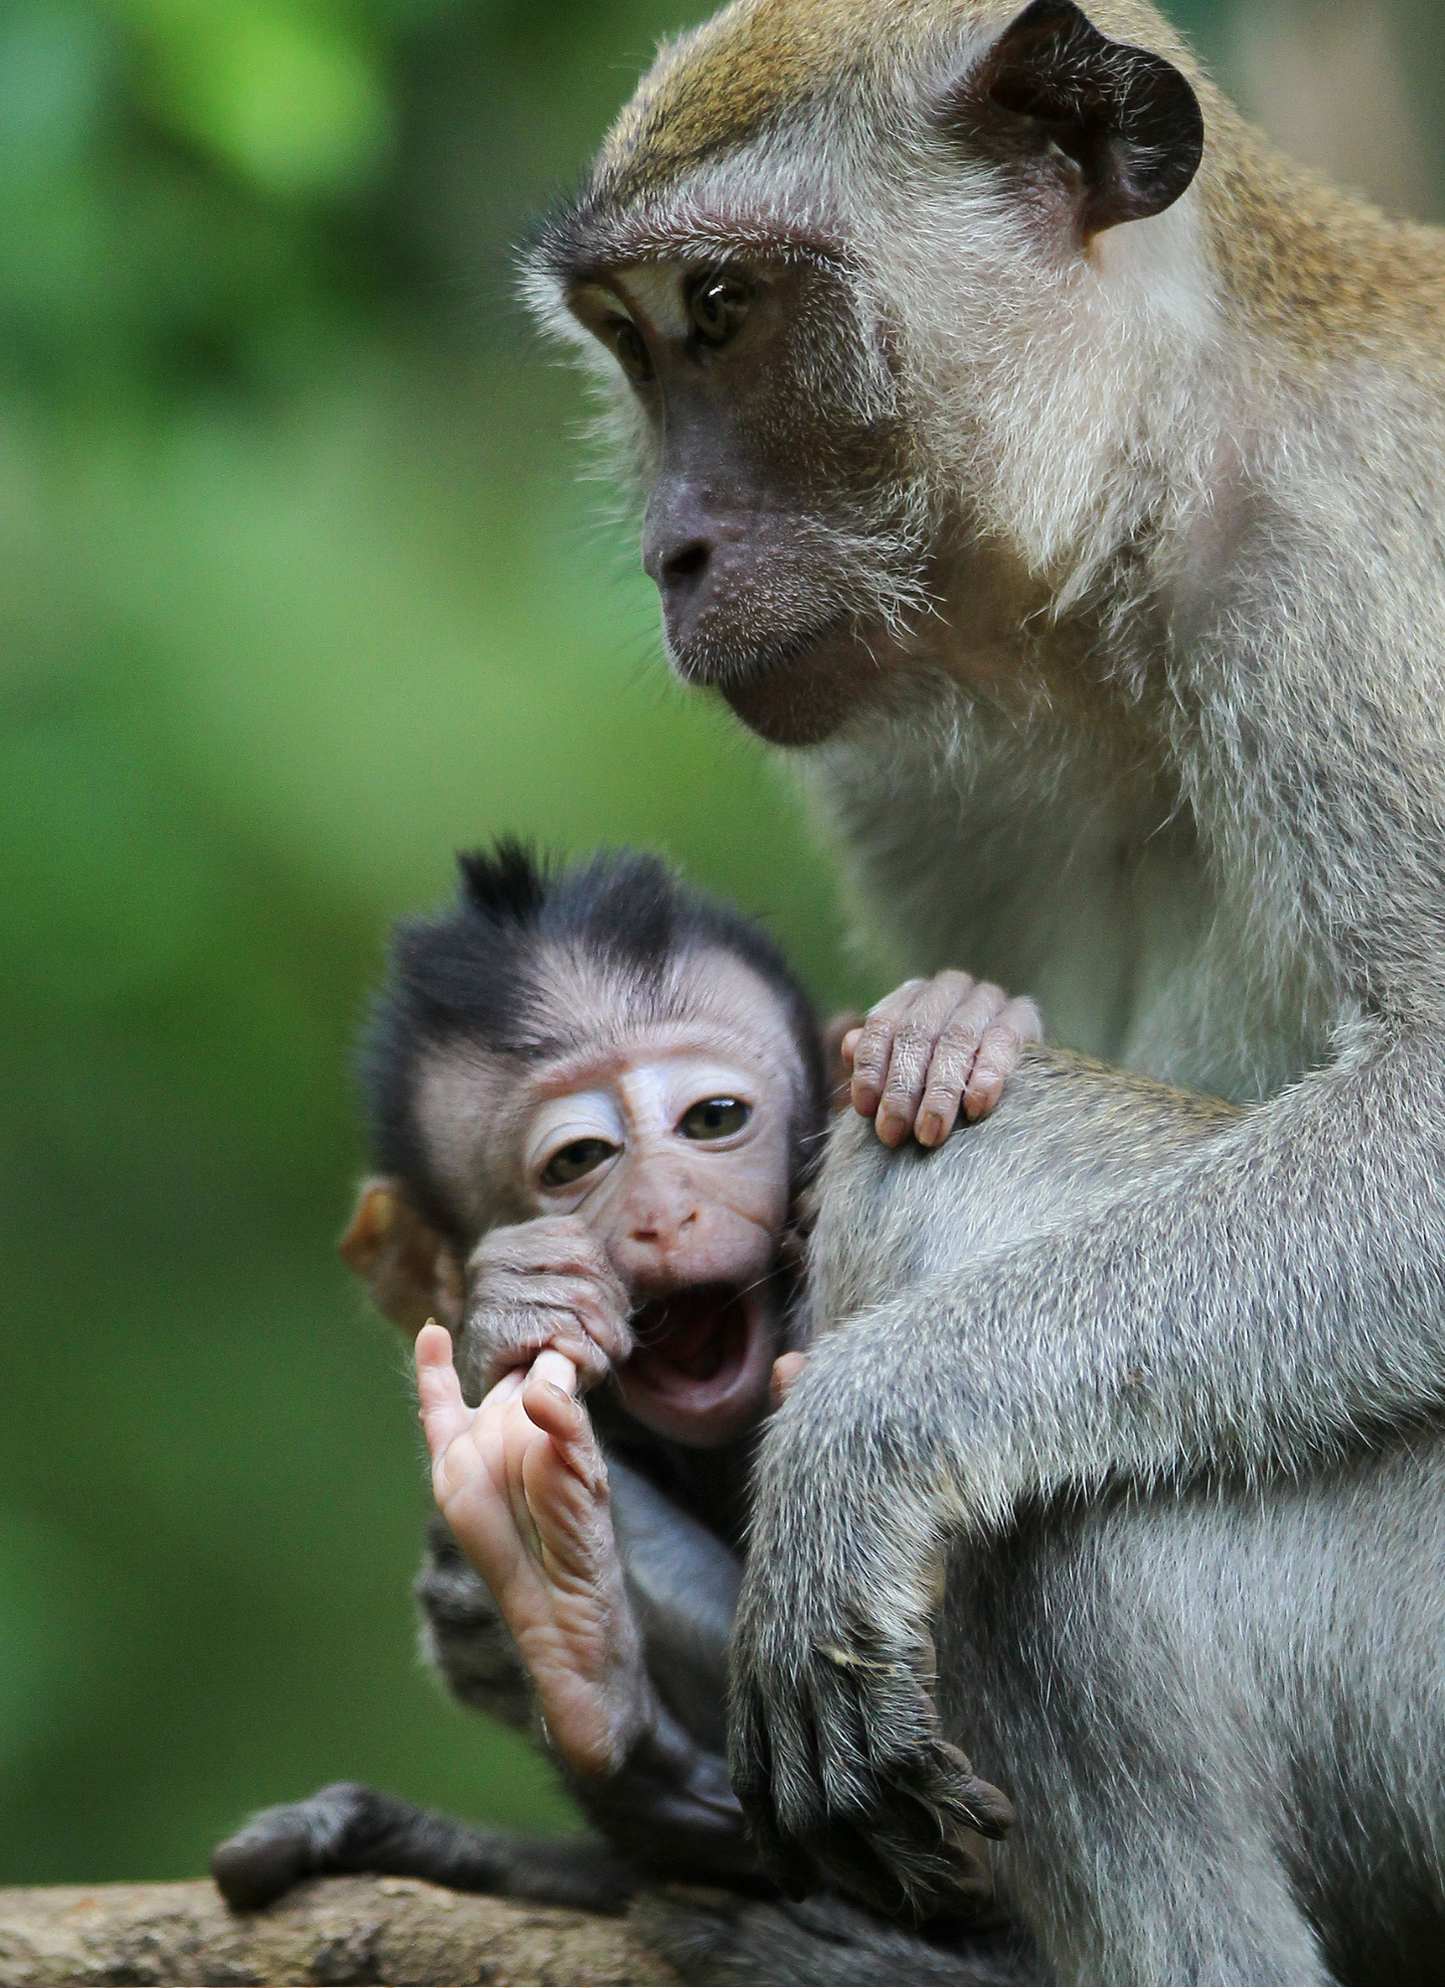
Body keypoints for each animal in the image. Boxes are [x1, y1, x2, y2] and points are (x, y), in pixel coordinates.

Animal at [213, 841, 1045, 1987]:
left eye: (712, 1120)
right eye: (578, 1161)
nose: (663, 1211)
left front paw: (953, 1025)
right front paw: (514, 1306)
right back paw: (575, 1657)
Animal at [519, 0, 1445, 1977]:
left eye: (727, 308)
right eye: (634, 341)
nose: (672, 550)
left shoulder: (1348, 573)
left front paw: (869, 1435)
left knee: (1047, 1492)